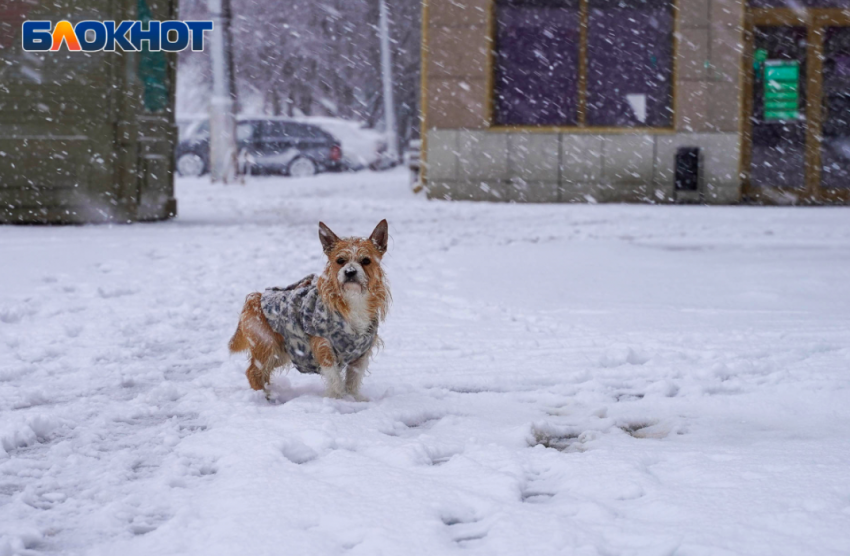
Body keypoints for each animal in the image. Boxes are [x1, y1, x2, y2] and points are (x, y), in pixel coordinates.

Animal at [230, 222, 392, 400]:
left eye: (366, 260)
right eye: (340, 260)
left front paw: (354, 398)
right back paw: (266, 396)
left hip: (282, 352)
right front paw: (337, 398)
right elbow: (334, 375)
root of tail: (255, 298)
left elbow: (354, 377)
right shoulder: (323, 345)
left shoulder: (361, 352)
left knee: (263, 373)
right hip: (267, 344)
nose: (350, 272)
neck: (354, 299)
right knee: (253, 372)